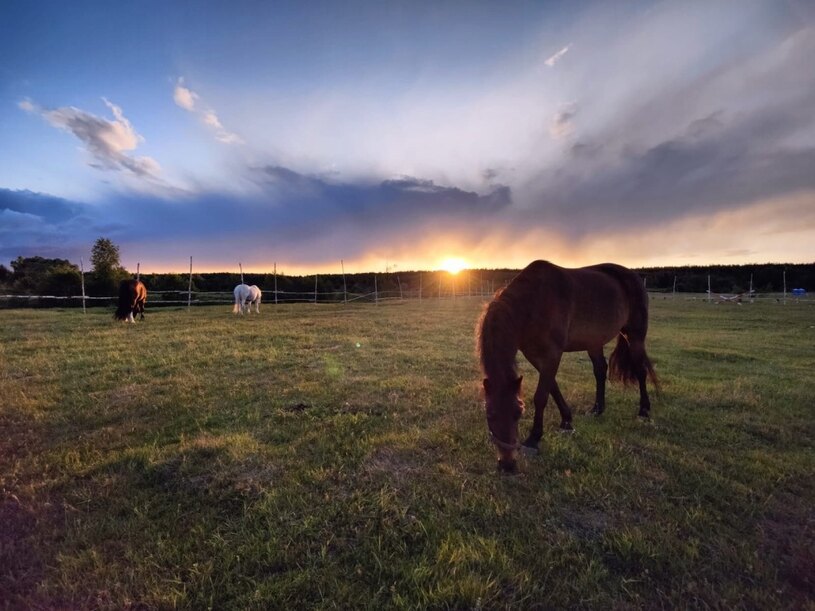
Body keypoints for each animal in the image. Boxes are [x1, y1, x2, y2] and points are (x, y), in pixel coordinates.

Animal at [477, 260, 658, 473]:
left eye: (518, 413)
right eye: (490, 415)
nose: (507, 464)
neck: (532, 302)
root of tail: (634, 277)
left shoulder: (552, 354)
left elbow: (541, 395)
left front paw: (533, 439)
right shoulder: (534, 355)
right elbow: (552, 388)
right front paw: (567, 421)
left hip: (634, 336)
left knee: (640, 371)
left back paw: (644, 411)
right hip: (594, 342)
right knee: (600, 370)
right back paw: (597, 409)